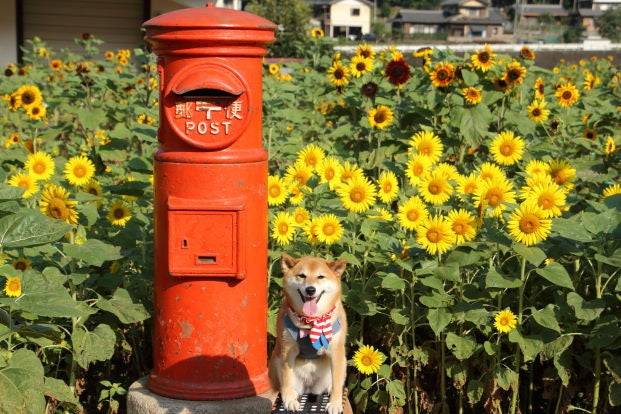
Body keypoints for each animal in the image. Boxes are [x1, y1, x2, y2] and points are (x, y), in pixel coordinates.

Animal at [268, 254, 352, 412]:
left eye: (320, 276)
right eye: (302, 275)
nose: (310, 289)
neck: (311, 321)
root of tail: (310, 388)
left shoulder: (336, 351)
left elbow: (338, 382)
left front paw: (335, 403)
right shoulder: (287, 350)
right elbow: (286, 378)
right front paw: (289, 400)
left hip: (342, 363)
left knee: (335, 381)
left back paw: (330, 389)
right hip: (276, 361)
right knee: (283, 385)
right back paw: (291, 394)